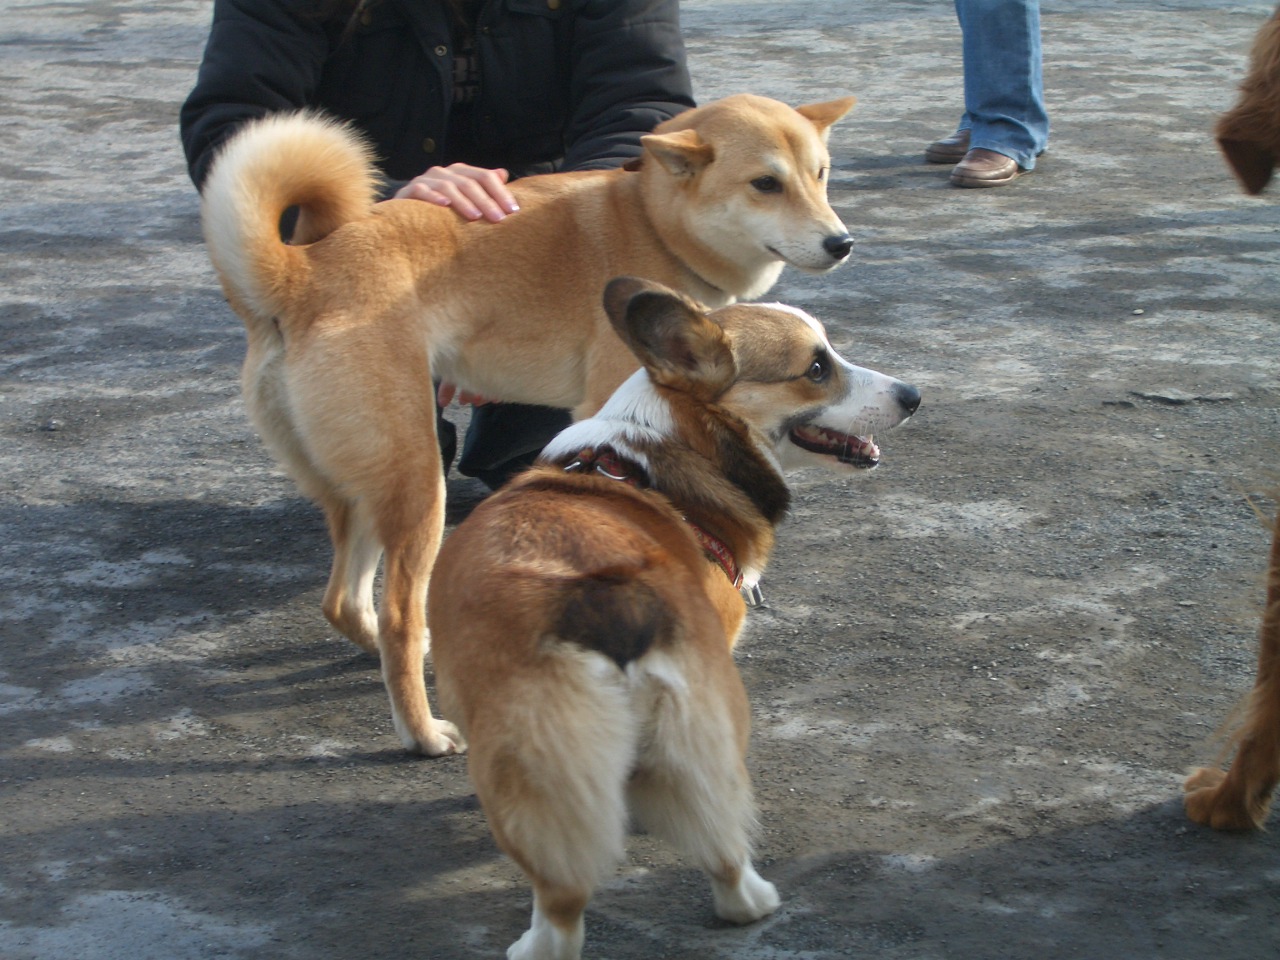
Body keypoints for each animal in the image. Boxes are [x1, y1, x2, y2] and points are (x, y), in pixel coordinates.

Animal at [430, 277, 921, 960]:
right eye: (817, 368)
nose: (914, 396)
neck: (666, 446)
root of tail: (611, 594)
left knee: (572, 891)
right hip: (704, 714)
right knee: (713, 837)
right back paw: (750, 900)